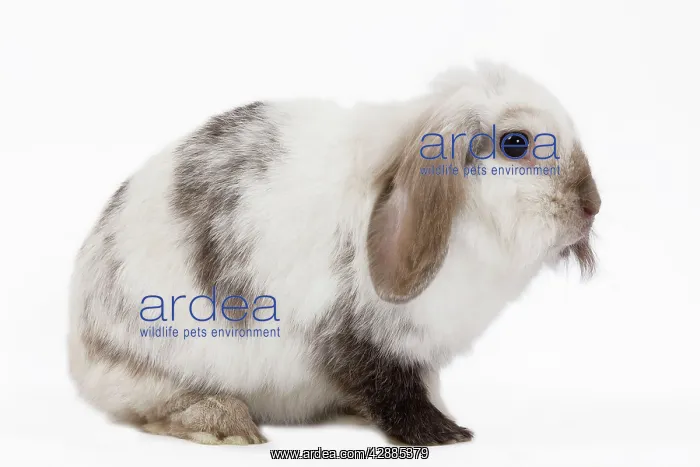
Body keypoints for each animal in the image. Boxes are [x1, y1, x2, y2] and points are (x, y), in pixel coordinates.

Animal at [68, 62, 601, 446]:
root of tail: (81, 344)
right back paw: (226, 425)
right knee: (154, 408)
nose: (592, 204)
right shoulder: (354, 339)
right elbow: (388, 388)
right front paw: (445, 434)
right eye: (516, 144)